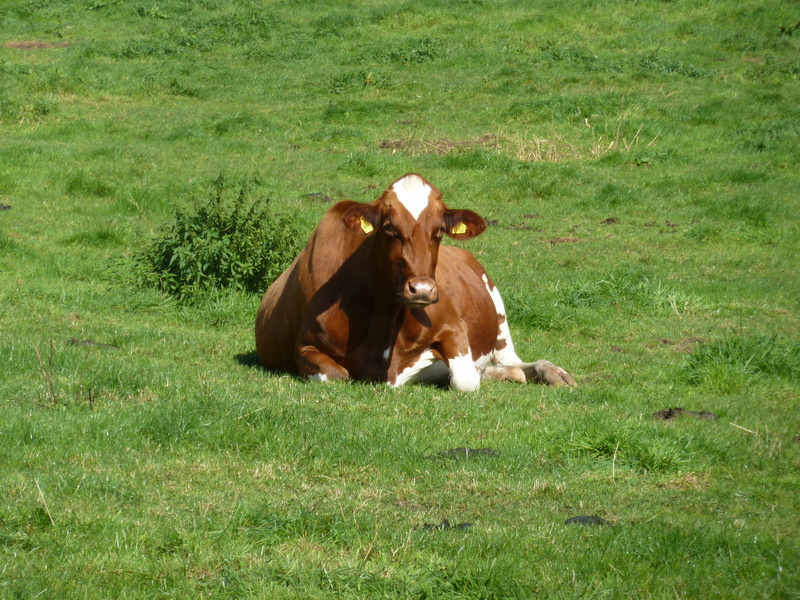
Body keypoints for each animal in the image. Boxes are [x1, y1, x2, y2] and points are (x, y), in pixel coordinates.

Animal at [255, 174, 575, 391]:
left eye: (439, 231)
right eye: (388, 227)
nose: (421, 289)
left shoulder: (452, 326)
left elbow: (464, 378)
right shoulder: (305, 345)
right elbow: (336, 375)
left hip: (497, 313)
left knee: (511, 361)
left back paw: (552, 372)